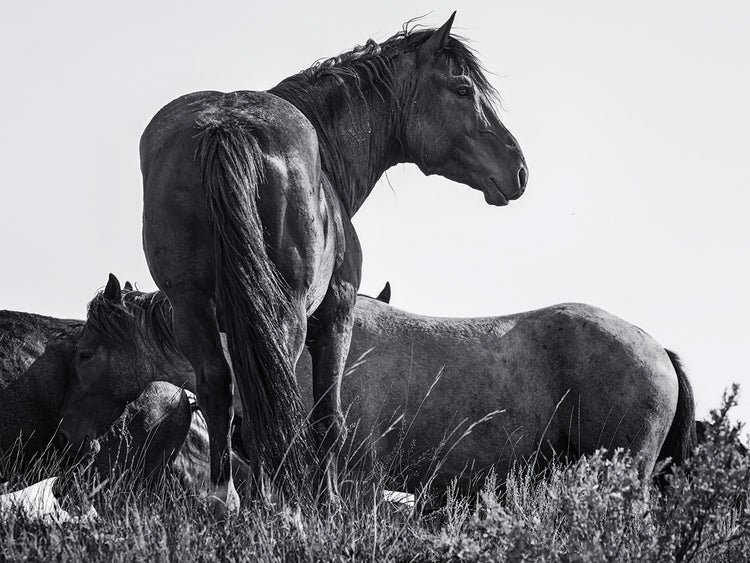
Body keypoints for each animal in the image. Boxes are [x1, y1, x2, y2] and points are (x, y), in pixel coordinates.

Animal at [58, 13, 528, 511]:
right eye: (462, 89)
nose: (518, 168)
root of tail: (225, 127)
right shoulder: (336, 314)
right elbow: (327, 420)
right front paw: (327, 503)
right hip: (286, 314)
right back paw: (281, 505)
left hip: (192, 307)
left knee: (219, 389)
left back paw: (226, 500)